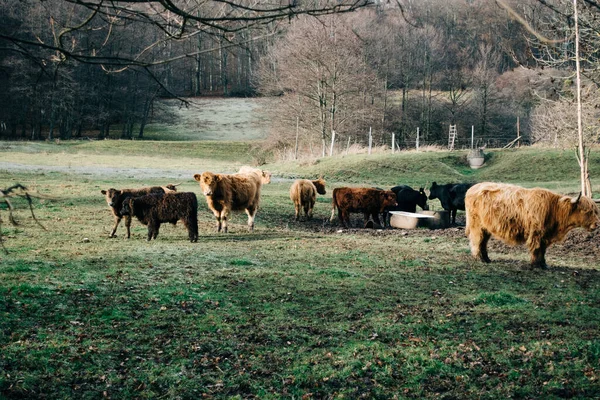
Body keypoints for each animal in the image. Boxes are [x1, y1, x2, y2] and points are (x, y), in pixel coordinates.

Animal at [464, 181, 600, 268]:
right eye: (587, 211)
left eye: (595, 211)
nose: (597, 224)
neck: (555, 210)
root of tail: (472, 188)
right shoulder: (537, 233)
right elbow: (536, 248)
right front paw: (535, 265)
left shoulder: (545, 235)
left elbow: (543, 250)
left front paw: (544, 264)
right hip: (476, 225)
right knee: (477, 241)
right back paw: (479, 259)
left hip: (486, 228)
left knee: (483, 243)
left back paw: (487, 259)